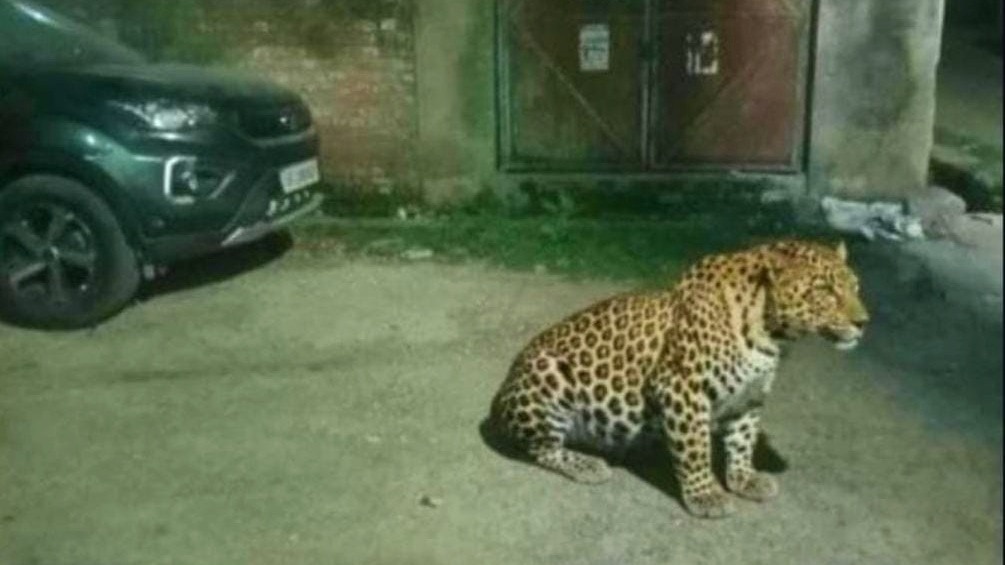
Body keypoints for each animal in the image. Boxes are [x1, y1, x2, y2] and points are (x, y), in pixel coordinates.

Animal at [489, 239, 869, 519]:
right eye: (825, 290)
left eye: (855, 287)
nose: (864, 322)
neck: (771, 333)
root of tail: (499, 396)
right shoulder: (682, 387)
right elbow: (696, 448)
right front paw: (706, 496)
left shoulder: (749, 396)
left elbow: (743, 441)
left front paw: (743, 479)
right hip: (547, 374)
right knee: (541, 448)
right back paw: (587, 465)